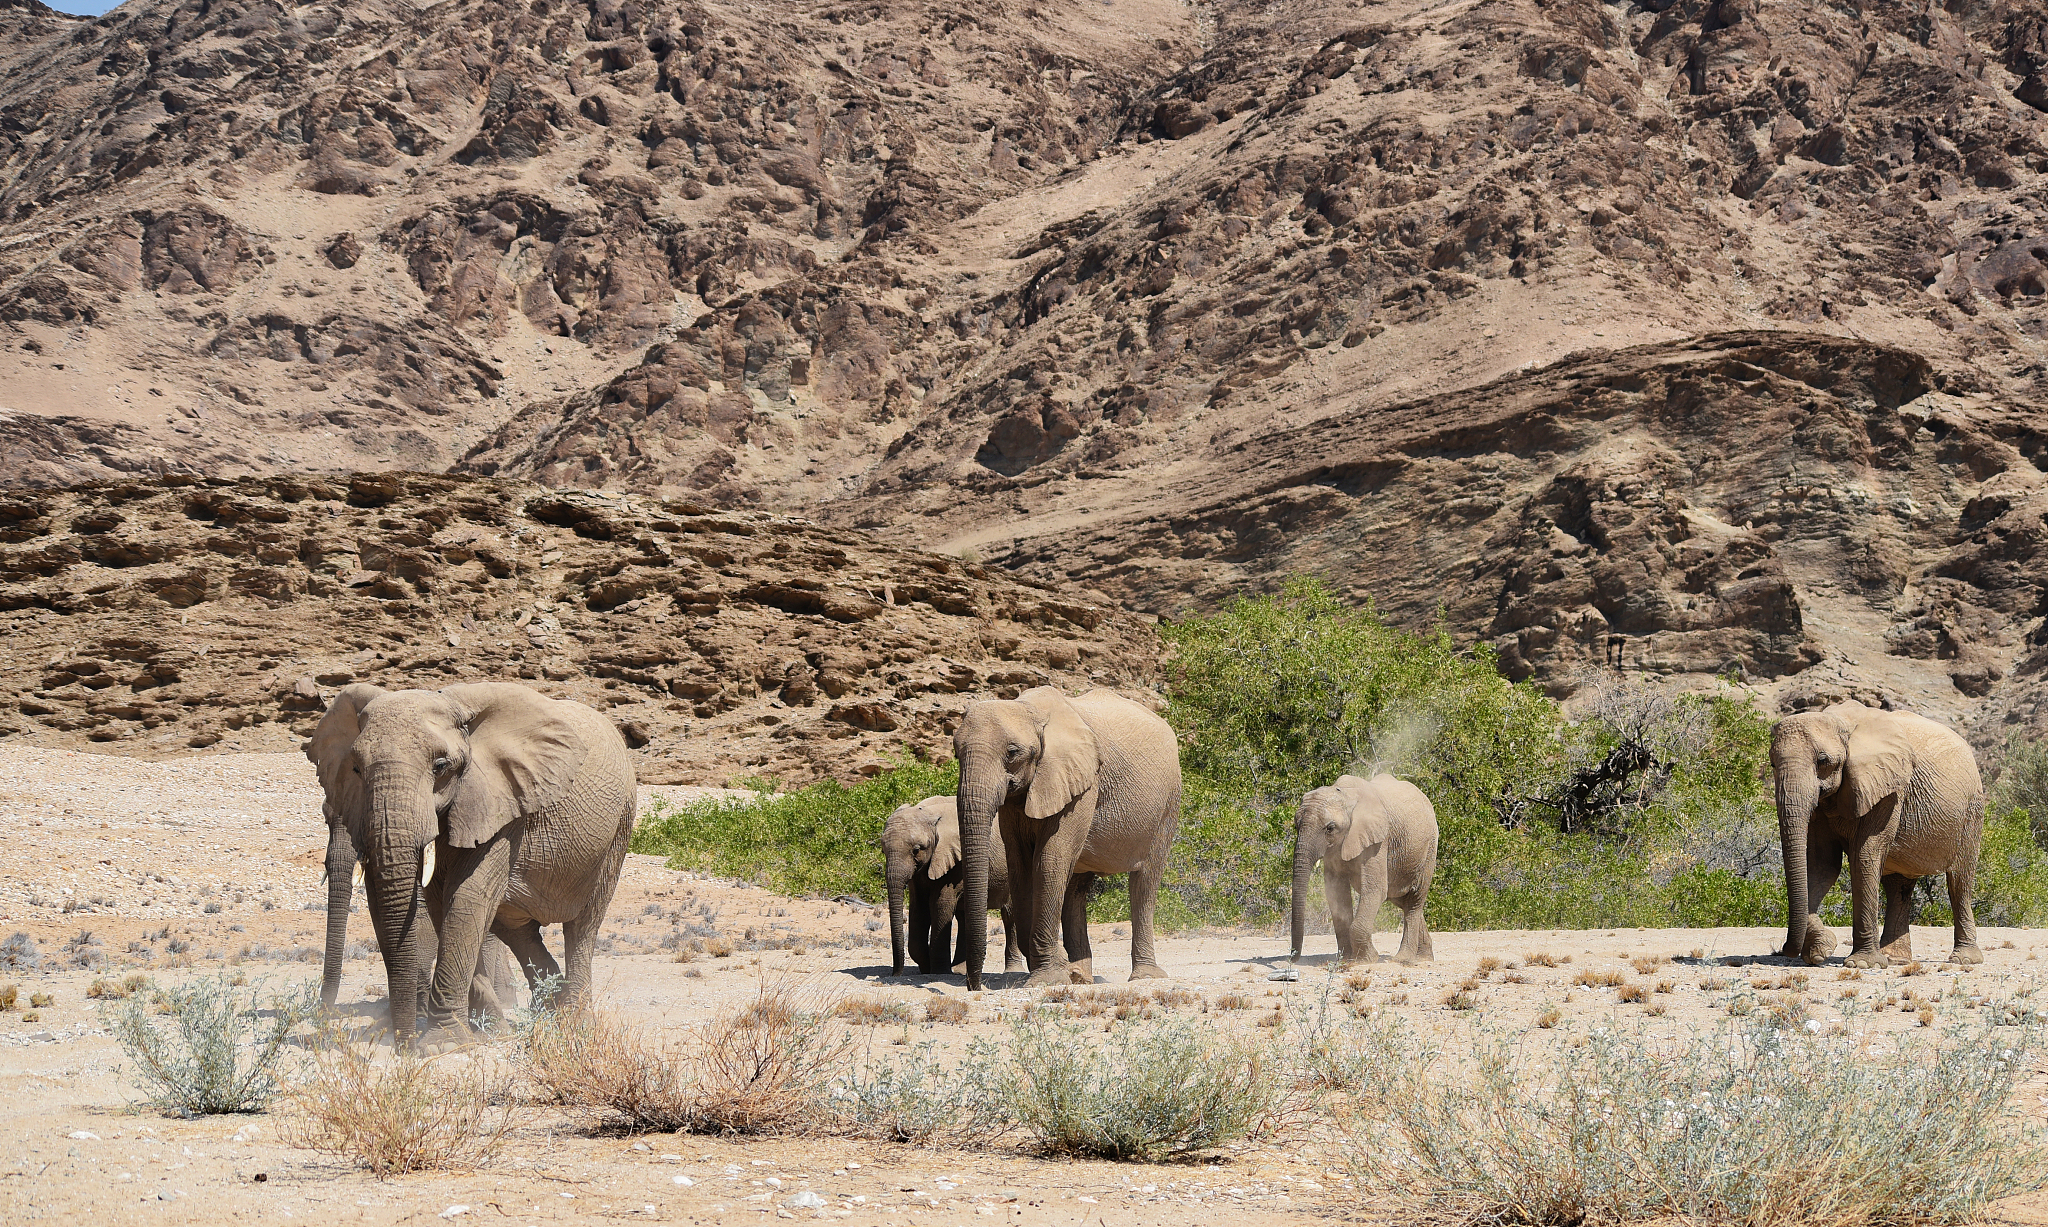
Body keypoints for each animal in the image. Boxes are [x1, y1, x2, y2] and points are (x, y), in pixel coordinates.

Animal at [308, 681, 637, 1046]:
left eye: (440, 766)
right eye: (355, 768)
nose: (404, 1046)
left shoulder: (501, 800)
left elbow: (466, 897)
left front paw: (442, 1043)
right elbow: (440, 903)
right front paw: (487, 1031)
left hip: (617, 831)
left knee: (582, 926)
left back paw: (572, 1025)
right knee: (518, 931)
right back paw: (546, 1010)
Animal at [882, 795, 1022, 977]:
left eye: (917, 850)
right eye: (883, 850)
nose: (895, 974)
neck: (930, 814)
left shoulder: (957, 860)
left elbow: (941, 903)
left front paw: (939, 973)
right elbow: (919, 906)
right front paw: (927, 969)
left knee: (1010, 916)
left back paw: (1012, 971)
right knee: (964, 917)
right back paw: (959, 970)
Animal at [953, 686, 1182, 990]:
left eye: (1012, 752)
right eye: (956, 752)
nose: (974, 986)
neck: (1029, 709)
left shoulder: (1084, 783)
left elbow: (1050, 859)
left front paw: (1047, 979)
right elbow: (1020, 865)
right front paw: (1062, 971)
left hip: (1168, 802)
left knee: (1145, 881)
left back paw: (1144, 976)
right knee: (1075, 888)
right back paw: (1081, 977)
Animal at [1289, 774, 1438, 965]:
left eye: (1330, 828)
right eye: (1296, 825)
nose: (1293, 958)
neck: (1346, 795)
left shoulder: (1378, 842)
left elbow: (1375, 890)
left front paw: (1367, 959)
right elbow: (1336, 893)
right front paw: (1346, 958)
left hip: (1429, 848)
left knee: (1414, 900)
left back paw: (1403, 959)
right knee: (1401, 899)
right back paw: (1424, 957)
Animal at [1771, 700, 1985, 969]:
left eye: (1823, 761)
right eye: (1772, 764)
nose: (1785, 950)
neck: (1841, 722)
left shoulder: (1890, 790)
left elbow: (1864, 856)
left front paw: (1861, 964)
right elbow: (1821, 864)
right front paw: (1820, 950)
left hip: (1971, 812)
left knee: (1959, 881)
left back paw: (1964, 959)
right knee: (1898, 887)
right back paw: (1895, 959)